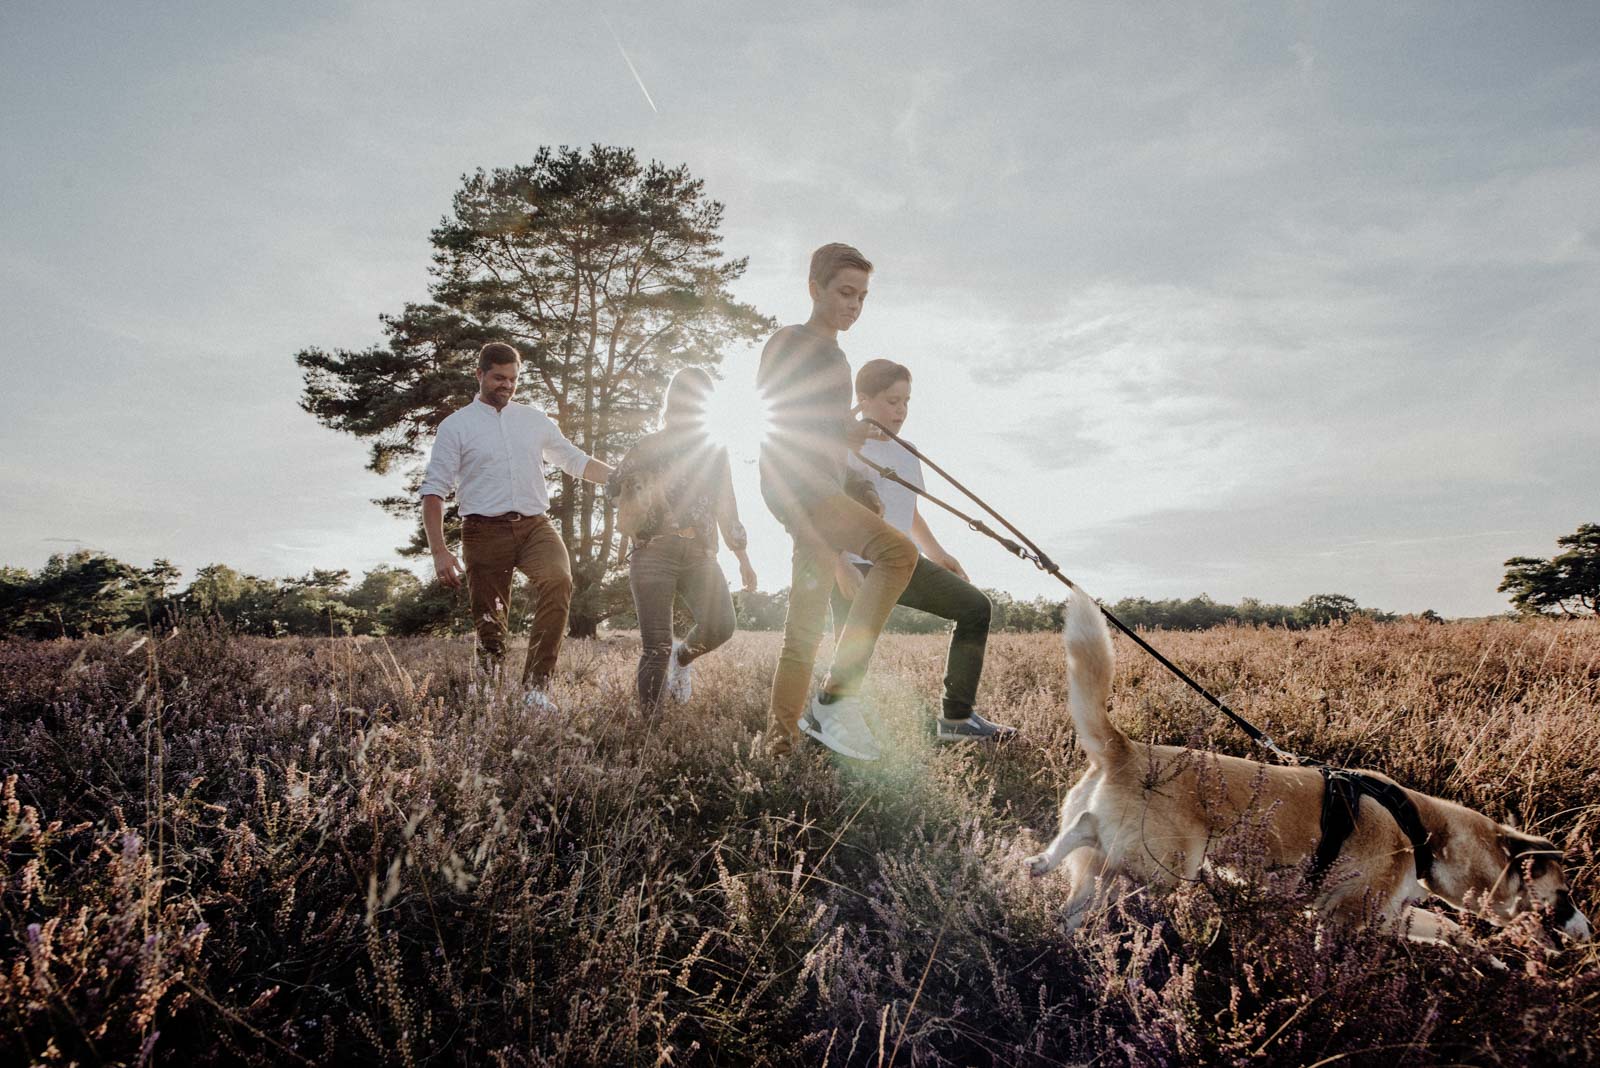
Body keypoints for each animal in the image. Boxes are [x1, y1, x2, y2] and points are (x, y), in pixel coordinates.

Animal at [1024, 588, 1587, 946]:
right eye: (1563, 894)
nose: (1585, 931)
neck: (1426, 831)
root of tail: (1123, 747)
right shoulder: (1348, 916)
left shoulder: (1387, 916)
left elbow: (1444, 930)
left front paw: (1486, 956)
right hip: (1165, 868)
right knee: (1092, 845)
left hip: (1116, 869)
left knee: (1077, 872)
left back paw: (1048, 879)